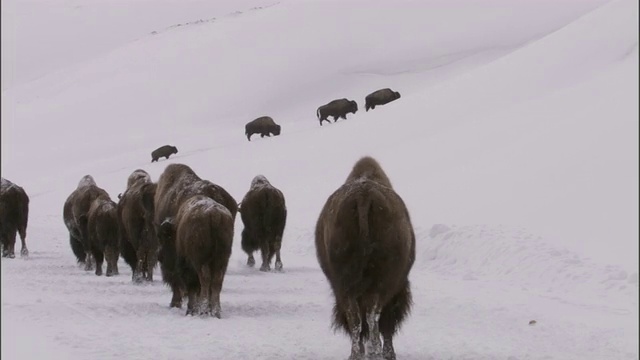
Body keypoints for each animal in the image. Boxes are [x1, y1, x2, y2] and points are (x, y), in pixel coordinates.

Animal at [153, 163, 238, 316]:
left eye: (162, 237)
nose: (160, 256)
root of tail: (214, 215)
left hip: (199, 261)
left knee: (203, 280)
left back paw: (202, 310)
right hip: (221, 259)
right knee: (216, 281)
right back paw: (214, 310)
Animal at [314, 156, 416, 360]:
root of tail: (363, 196)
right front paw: (388, 353)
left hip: (346, 287)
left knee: (356, 317)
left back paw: (357, 353)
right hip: (380, 285)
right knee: (372, 316)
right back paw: (374, 351)